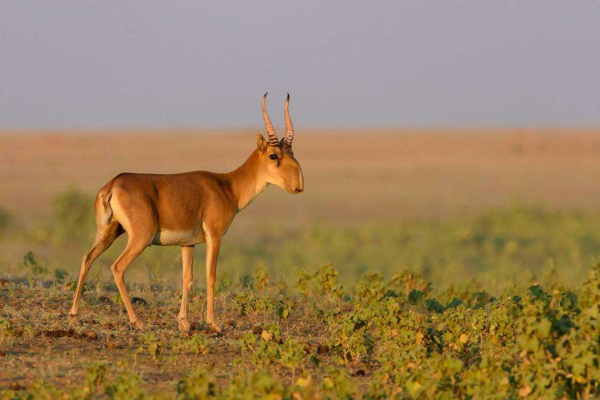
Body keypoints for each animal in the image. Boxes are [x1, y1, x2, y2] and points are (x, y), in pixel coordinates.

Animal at [69, 93, 304, 332]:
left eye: (291, 152)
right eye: (273, 156)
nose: (298, 187)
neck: (228, 186)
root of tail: (113, 185)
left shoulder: (187, 244)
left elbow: (186, 277)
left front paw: (184, 322)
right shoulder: (214, 236)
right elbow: (210, 275)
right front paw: (214, 323)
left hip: (109, 232)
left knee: (87, 258)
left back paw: (73, 315)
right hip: (140, 237)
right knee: (117, 267)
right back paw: (137, 321)